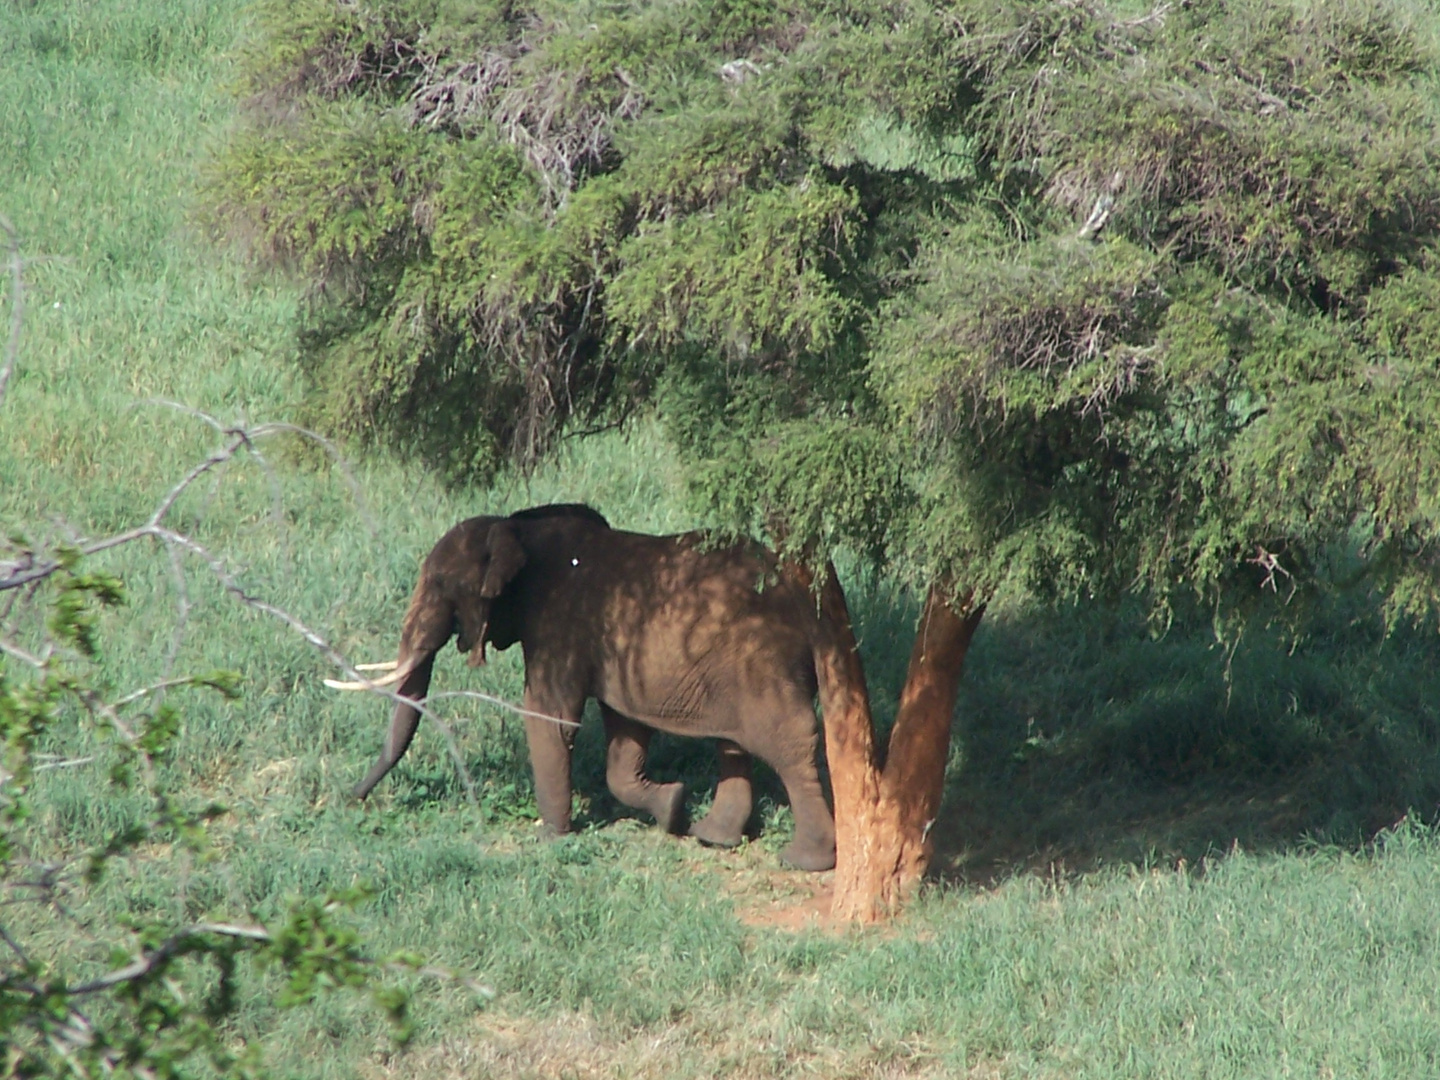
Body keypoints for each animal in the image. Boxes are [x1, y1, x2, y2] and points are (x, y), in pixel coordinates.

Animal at [331, 506, 840, 869]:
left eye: (439, 583)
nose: (349, 799)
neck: (515, 528)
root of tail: (809, 604)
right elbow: (625, 734)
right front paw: (672, 808)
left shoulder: (559, 625)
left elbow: (549, 716)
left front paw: (549, 837)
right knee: (733, 741)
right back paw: (713, 837)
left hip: (762, 660)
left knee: (786, 742)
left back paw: (804, 862)